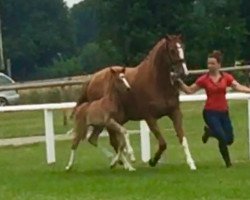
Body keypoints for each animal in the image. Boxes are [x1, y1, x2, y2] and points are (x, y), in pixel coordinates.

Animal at [73, 34, 196, 170]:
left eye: (182, 47)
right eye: (172, 50)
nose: (184, 72)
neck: (157, 82)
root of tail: (91, 79)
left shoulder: (175, 113)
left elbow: (182, 138)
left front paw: (191, 163)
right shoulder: (150, 118)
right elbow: (163, 143)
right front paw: (152, 161)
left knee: (109, 141)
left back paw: (121, 161)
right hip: (106, 120)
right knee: (112, 141)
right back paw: (120, 162)